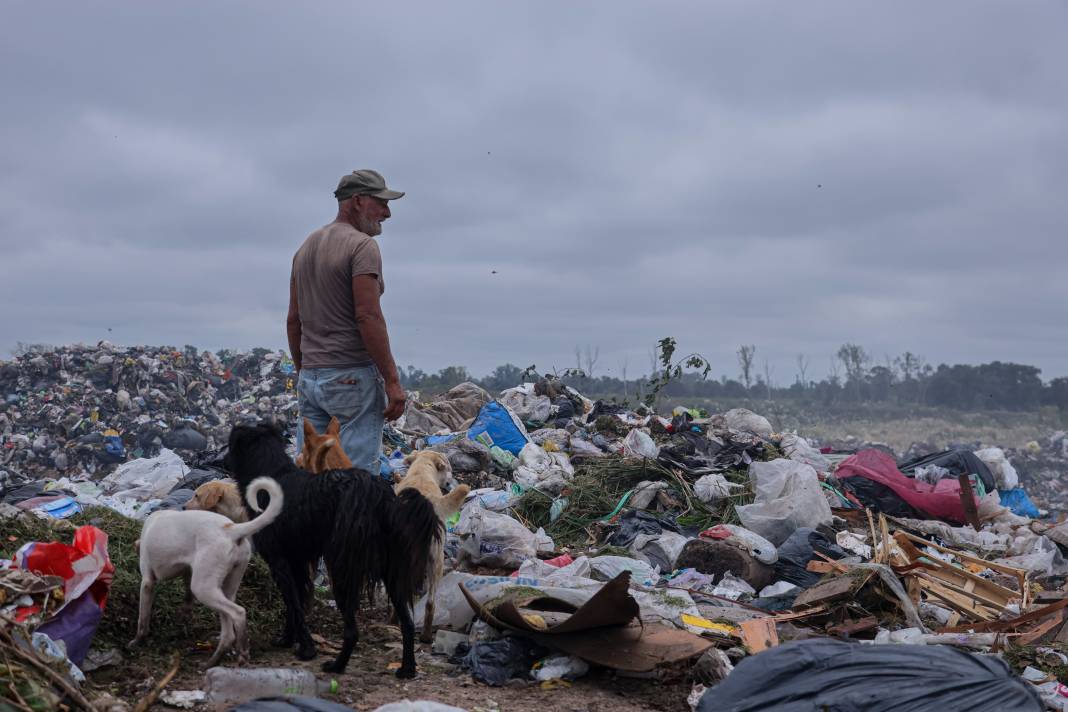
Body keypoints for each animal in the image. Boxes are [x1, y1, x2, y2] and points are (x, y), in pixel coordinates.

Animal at [129, 476, 284, 666]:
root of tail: (231, 529)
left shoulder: (147, 582)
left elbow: (142, 618)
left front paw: (137, 640)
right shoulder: (188, 573)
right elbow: (187, 599)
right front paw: (183, 616)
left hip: (204, 588)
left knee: (239, 613)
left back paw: (241, 653)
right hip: (223, 588)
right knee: (228, 632)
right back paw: (214, 659)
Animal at [225, 422, 442, 678]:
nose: (223, 460)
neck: (275, 473)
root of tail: (380, 498)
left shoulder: (279, 562)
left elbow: (294, 605)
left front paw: (306, 649)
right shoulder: (296, 562)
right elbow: (295, 603)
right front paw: (287, 639)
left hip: (341, 567)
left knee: (352, 631)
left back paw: (337, 666)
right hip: (390, 568)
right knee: (406, 623)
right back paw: (407, 668)